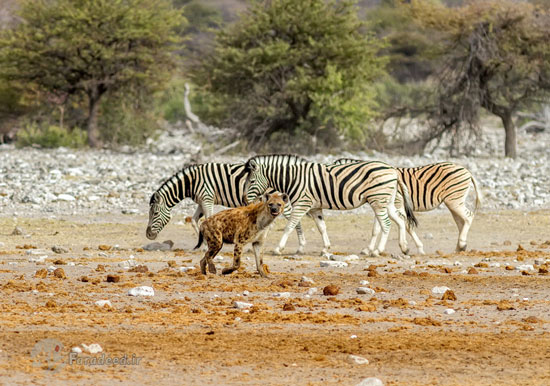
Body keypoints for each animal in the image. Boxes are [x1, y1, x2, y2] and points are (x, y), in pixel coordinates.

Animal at [146, 161, 310, 250]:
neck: (192, 181)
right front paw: (202, 244)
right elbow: (194, 221)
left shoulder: (207, 198)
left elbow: (207, 219)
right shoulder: (201, 201)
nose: (148, 235)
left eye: (155, 214)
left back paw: (300, 246)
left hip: (279, 201)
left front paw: (207, 244)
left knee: (295, 219)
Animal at [246, 157, 418, 256]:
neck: (293, 179)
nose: (246, 199)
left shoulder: (303, 204)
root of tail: (393, 170)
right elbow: (322, 227)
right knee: (400, 221)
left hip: (378, 200)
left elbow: (290, 226)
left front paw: (278, 249)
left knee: (387, 224)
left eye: (252, 181)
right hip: (386, 201)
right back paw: (404, 248)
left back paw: (377, 251)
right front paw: (325, 248)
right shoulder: (315, 207)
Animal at [336, 158, 484, 255]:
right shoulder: (381, 204)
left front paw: (414, 248)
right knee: (461, 221)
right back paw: (459, 247)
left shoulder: (397, 203)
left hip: (454, 200)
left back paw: (462, 244)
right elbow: (376, 229)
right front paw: (368, 249)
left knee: (468, 217)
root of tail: (466, 170)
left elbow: (406, 225)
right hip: (454, 202)